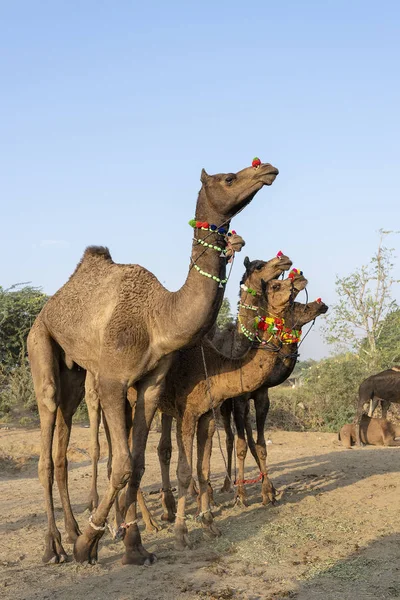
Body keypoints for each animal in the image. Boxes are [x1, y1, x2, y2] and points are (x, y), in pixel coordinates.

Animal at [27, 159, 278, 564]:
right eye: (229, 178)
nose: (267, 169)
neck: (158, 317)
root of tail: (49, 306)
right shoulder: (113, 381)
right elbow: (123, 464)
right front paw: (90, 544)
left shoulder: (151, 384)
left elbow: (138, 462)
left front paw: (134, 546)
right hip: (41, 343)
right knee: (47, 445)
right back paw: (56, 547)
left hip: (76, 375)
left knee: (63, 447)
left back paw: (72, 530)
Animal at [219, 298, 328, 504]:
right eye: (296, 305)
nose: (320, 305)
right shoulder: (239, 400)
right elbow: (241, 446)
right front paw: (242, 495)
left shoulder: (262, 397)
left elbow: (260, 445)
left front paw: (269, 492)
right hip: (222, 404)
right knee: (228, 438)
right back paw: (226, 486)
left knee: (248, 438)